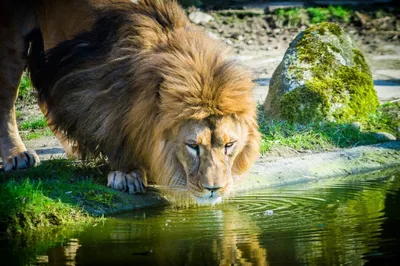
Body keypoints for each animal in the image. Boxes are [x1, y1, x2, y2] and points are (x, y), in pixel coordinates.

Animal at [0, 0, 260, 204]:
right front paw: (126, 173)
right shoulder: (92, 86)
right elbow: (110, 128)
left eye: (229, 145)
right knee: (7, 101)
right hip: (12, 37)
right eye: (192, 146)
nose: (213, 189)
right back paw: (17, 156)